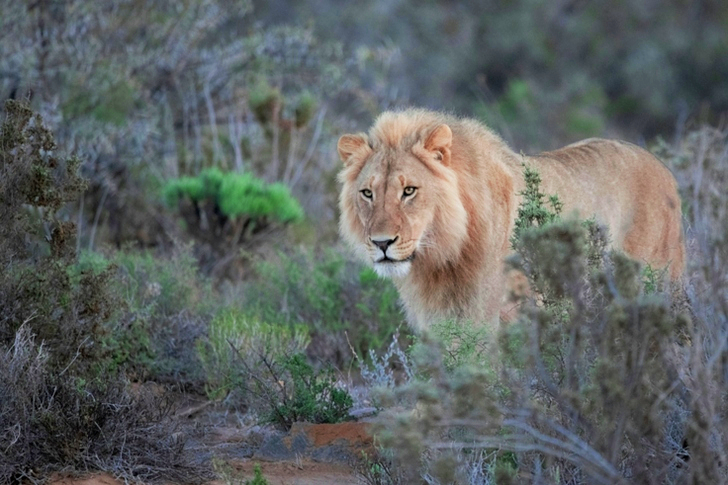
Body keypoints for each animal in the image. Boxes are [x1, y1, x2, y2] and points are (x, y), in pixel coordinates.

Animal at [337, 109, 685, 331]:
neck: (442, 259)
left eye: (409, 190)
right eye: (367, 193)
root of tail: (664, 168)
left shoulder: (502, 318)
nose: (381, 243)